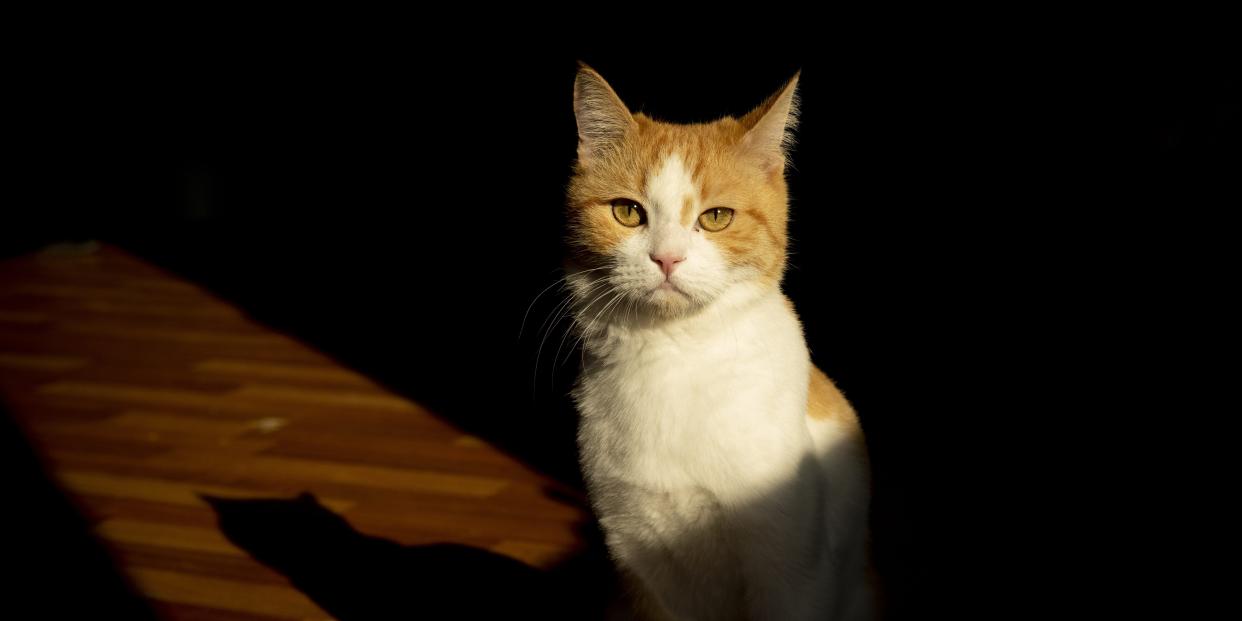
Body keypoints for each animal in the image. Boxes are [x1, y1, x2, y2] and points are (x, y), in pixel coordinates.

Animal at [566, 64, 874, 621]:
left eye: (715, 218)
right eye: (627, 212)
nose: (666, 258)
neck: (672, 356)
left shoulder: (791, 575)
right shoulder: (639, 569)